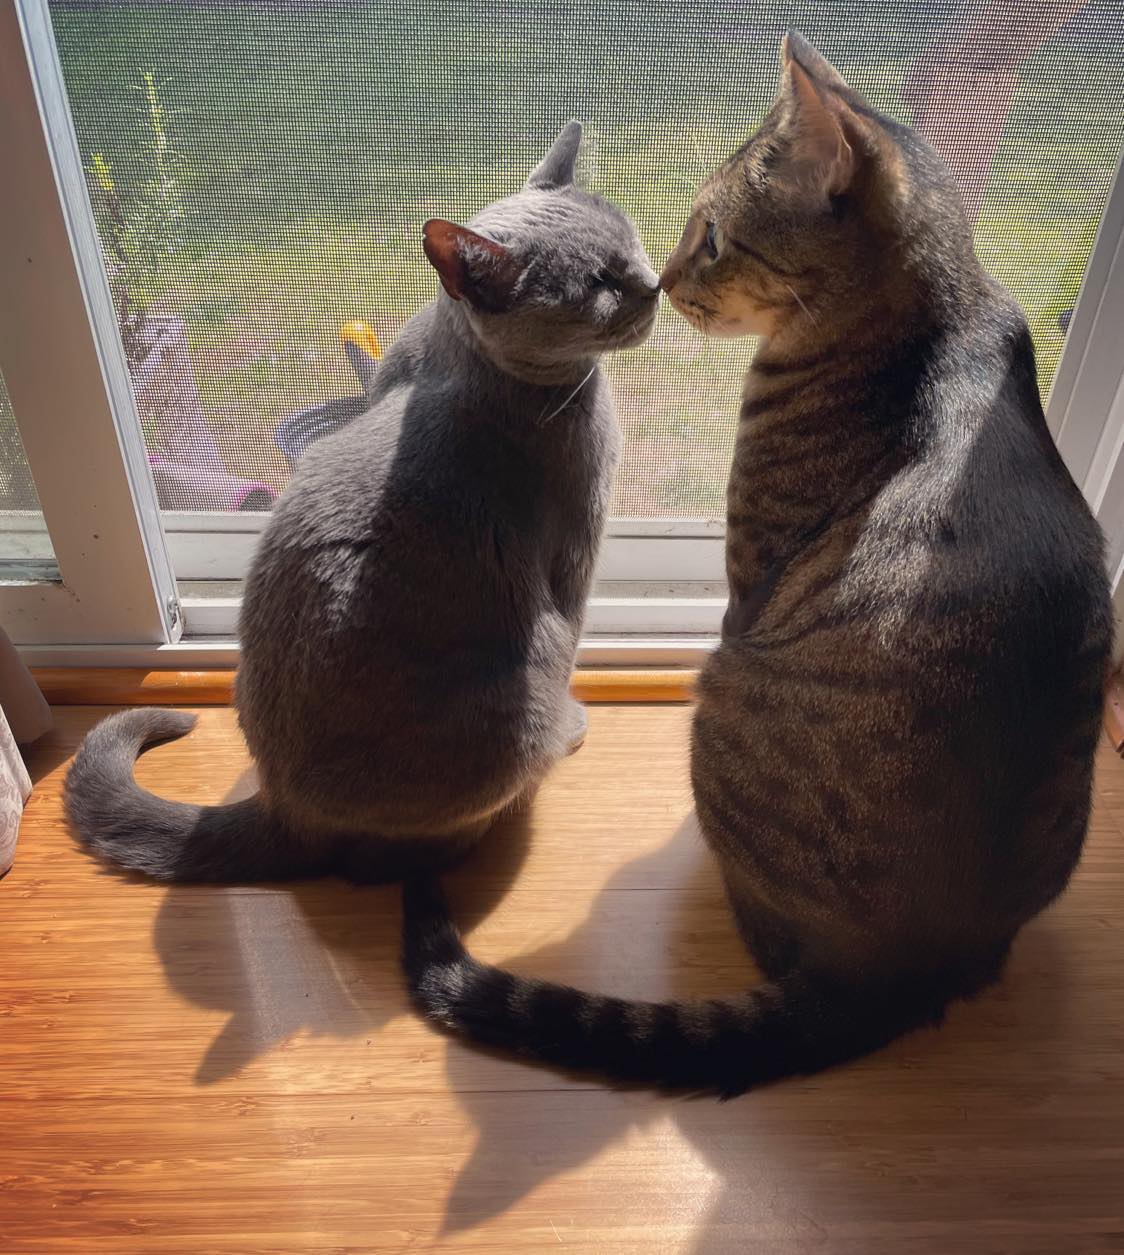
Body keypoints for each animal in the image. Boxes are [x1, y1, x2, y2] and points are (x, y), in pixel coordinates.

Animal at [65, 119, 662, 883]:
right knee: (388, 855)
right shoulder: (574, 555)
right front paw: (576, 724)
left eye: (631, 242)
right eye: (596, 284)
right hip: (522, 686)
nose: (653, 282)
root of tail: (283, 810)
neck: (460, 360)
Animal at [401, 36, 1103, 1099]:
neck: (936, 320)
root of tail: (896, 976)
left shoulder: (745, 574)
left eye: (716, 238)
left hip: (721, 686)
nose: (663, 280)